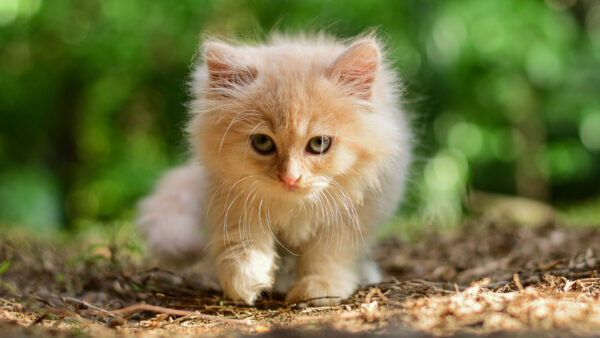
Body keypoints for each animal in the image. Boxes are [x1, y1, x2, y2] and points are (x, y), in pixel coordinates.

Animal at [137, 33, 410, 304]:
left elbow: (329, 252)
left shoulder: (355, 210)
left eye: (319, 143)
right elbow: (243, 239)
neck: (293, 207)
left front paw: (321, 286)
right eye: (263, 142)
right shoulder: (231, 197)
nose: (290, 178)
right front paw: (246, 276)